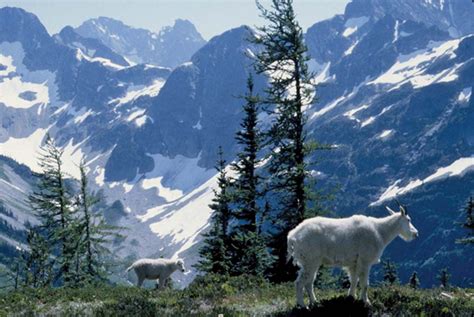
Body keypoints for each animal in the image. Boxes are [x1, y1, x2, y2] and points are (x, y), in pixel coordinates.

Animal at [286, 200, 416, 306]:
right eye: (408, 220)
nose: (416, 233)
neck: (380, 231)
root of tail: (292, 237)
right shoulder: (365, 261)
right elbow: (365, 283)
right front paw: (366, 302)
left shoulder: (354, 263)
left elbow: (354, 280)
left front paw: (351, 296)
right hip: (310, 260)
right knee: (300, 282)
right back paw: (303, 305)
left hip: (311, 262)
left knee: (309, 282)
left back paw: (314, 302)